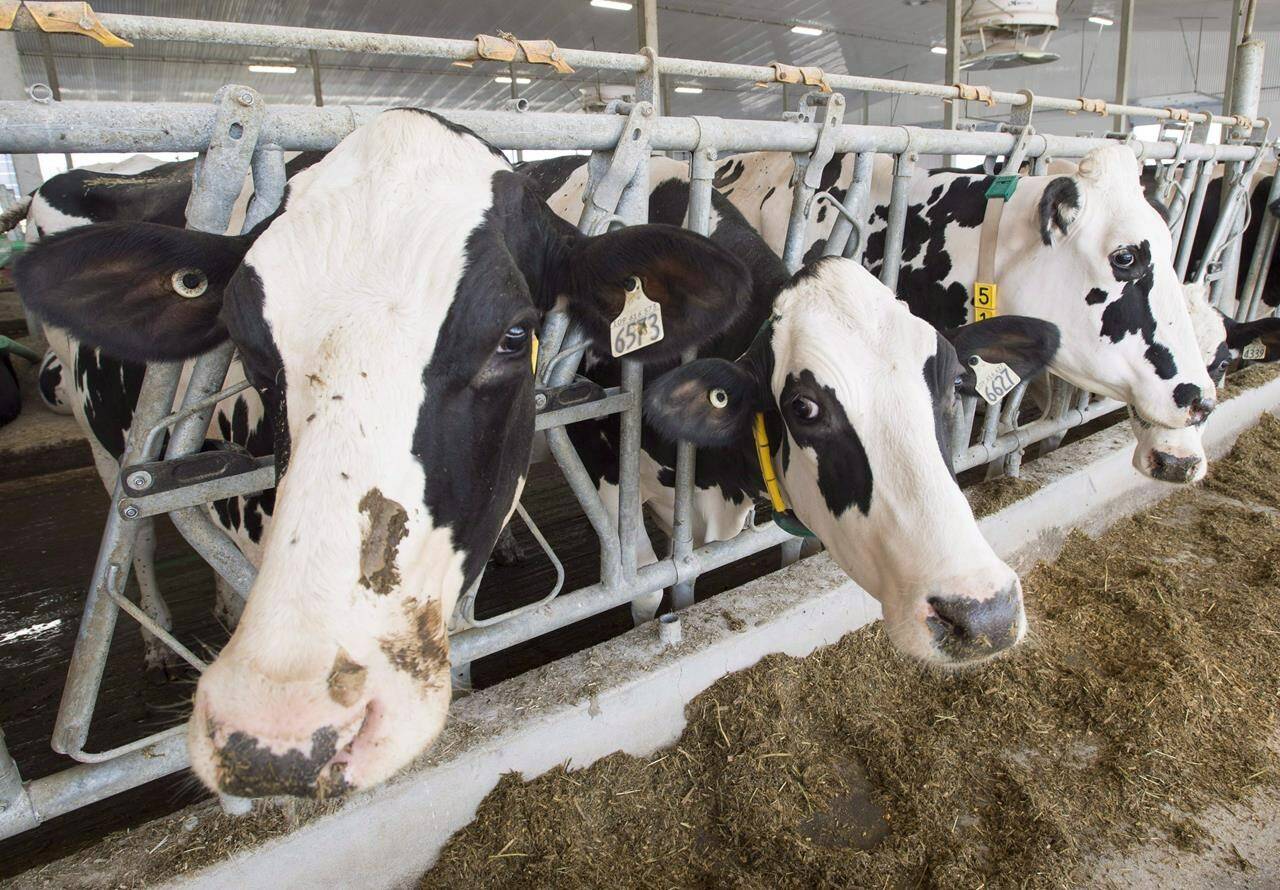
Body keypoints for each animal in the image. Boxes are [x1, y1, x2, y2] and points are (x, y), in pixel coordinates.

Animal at [20, 109, 1054, 799]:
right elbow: (649, 594)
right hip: (107, 443)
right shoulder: (616, 490)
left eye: (948, 387)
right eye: (805, 407)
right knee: (134, 529)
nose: (984, 611)